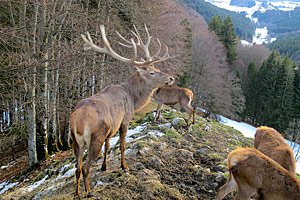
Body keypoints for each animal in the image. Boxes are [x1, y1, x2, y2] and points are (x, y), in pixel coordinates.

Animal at [69, 25, 173, 197]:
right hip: (95, 137)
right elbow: (122, 146)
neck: (133, 98)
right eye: (151, 72)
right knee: (85, 167)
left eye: (156, 67)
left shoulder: (110, 129)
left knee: (77, 168)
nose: (171, 78)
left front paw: (104, 166)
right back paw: (89, 192)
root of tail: (78, 123)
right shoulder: (125, 120)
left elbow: (108, 146)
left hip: (75, 141)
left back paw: (77, 193)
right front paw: (124, 166)